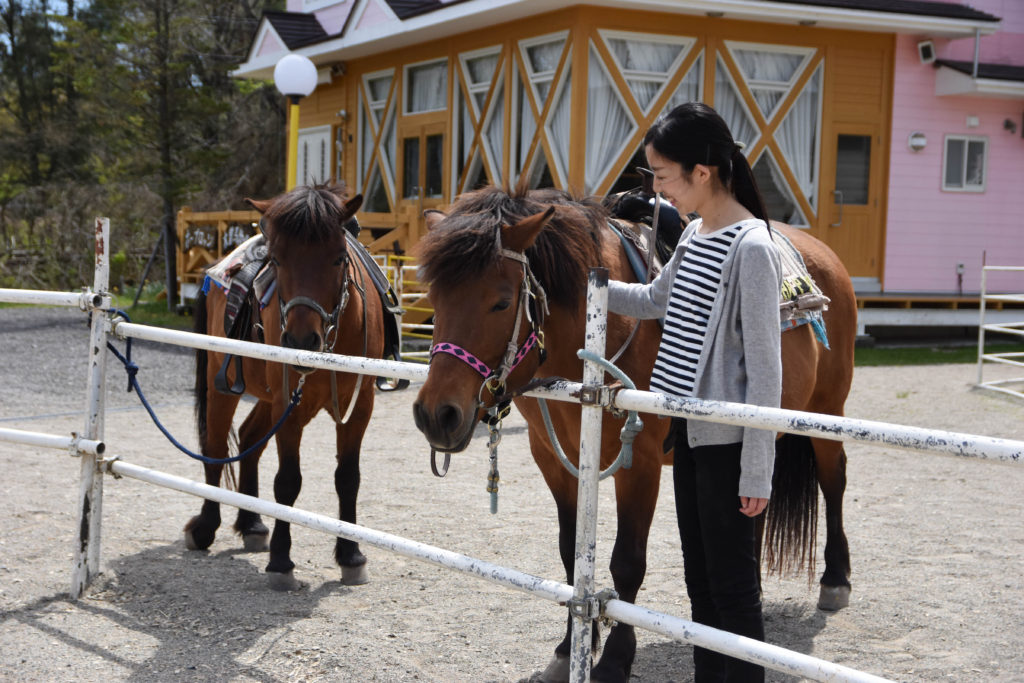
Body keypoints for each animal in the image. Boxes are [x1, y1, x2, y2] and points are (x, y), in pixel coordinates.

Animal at [186, 183, 389, 593]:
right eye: (278, 260)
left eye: (338, 258)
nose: (299, 339)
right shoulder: (289, 407)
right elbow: (288, 482)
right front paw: (281, 561)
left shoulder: (359, 407)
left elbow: (348, 478)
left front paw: (351, 556)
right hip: (225, 386)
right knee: (215, 447)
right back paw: (206, 527)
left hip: (269, 397)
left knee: (249, 437)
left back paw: (252, 524)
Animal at [407, 184, 856, 679]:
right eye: (433, 299)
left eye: (502, 301)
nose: (437, 414)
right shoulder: (554, 461)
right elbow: (571, 553)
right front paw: (570, 648)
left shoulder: (638, 464)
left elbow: (627, 562)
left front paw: (614, 659)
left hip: (825, 413)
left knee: (833, 481)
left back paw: (836, 579)